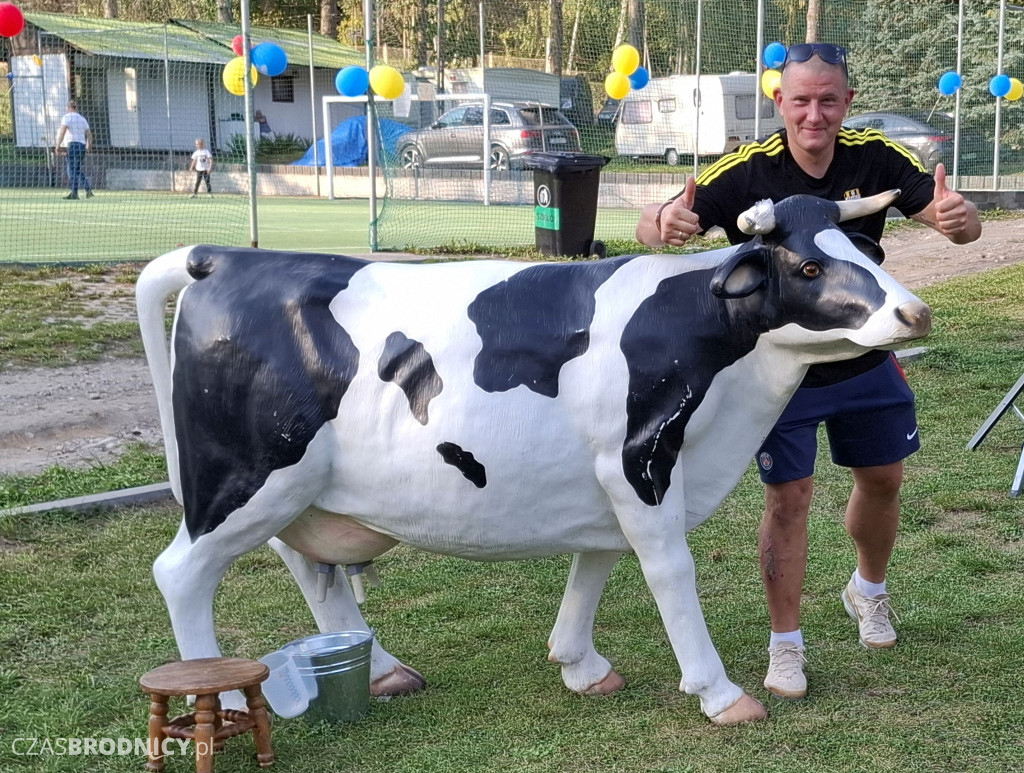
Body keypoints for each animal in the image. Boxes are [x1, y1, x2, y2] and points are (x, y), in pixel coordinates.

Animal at [134, 192, 929, 724]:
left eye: (866, 250)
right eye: (809, 265)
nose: (914, 312)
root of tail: (220, 258)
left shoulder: (607, 472)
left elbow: (597, 560)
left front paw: (580, 664)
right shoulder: (639, 457)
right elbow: (669, 569)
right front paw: (719, 691)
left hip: (298, 490)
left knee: (310, 568)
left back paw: (383, 671)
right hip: (243, 477)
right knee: (181, 573)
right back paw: (226, 696)